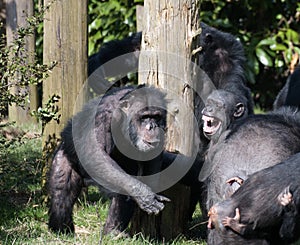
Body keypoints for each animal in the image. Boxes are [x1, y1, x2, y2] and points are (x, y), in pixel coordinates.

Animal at [49, 85, 171, 234]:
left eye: (156, 117)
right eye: (144, 117)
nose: (152, 126)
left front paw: (150, 189)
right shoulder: (103, 117)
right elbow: (95, 152)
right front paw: (145, 194)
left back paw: (111, 232)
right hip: (65, 154)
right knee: (60, 191)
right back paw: (62, 231)